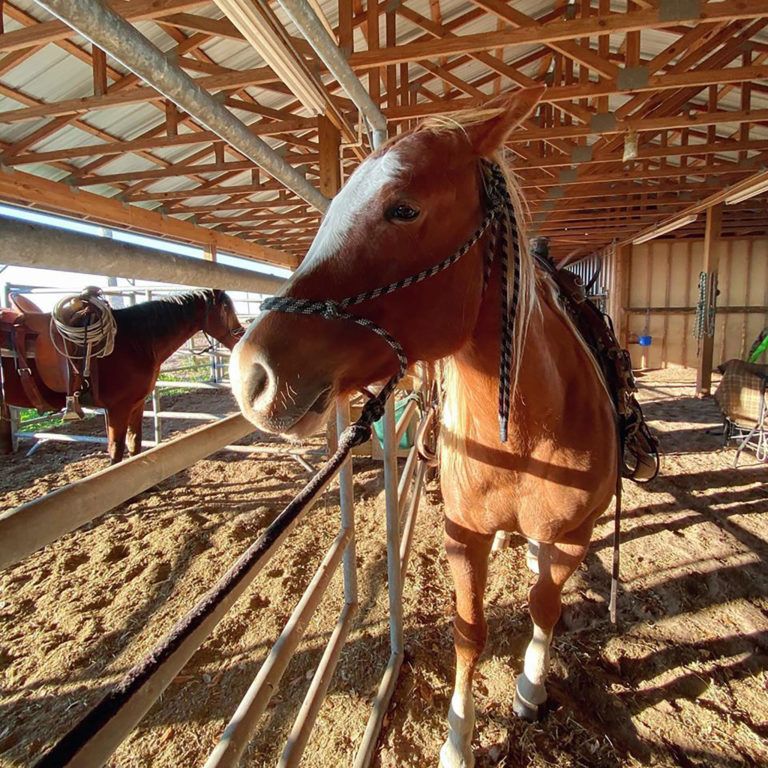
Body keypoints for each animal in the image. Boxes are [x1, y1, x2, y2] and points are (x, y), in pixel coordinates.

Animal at [2, 289, 243, 464]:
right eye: (226, 308)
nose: (240, 335)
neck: (134, 342)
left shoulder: (136, 404)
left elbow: (134, 444)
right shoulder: (118, 408)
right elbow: (116, 450)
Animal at [230, 88, 620, 768]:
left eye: (403, 208)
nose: (250, 374)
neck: (528, 437)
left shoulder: (576, 533)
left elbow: (546, 604)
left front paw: (529, 688)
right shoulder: (463, 533)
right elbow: (469, 631)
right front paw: (457, 740)